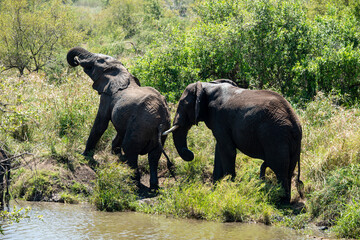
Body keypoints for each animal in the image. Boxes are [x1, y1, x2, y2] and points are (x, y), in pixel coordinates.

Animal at [67, 47, 172, 189]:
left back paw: (133, 182)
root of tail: (160, 120)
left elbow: (101, 124)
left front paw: (83, 155)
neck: (122, 71)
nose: (76, 60)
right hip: (161, 130)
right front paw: (115, 155)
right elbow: (119, 131)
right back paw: (154, 188)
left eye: (98, 61)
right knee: (154, 156)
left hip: (140, 126)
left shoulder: (107, 96)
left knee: (130, 150)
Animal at [164, 79, 304, 203]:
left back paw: (281, 201)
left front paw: (229, 190)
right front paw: (215, 190)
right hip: (290, 142)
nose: (190, 153)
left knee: (279, 168)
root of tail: (294, 122)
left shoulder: (219, 118)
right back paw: (285, 200)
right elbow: (219, 150)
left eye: (183, 104)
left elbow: (228, 150)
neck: (207, 85)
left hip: (274, 137)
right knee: (289, 169)